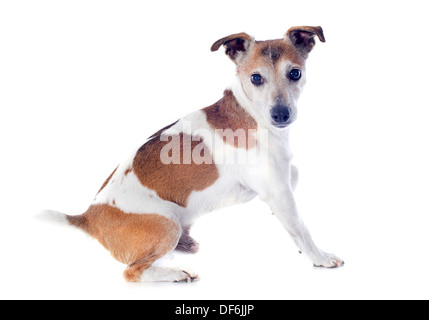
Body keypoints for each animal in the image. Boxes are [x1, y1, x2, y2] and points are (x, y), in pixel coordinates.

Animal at [45, 27, 342, 282]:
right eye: (256, 78)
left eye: (295, 73)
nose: (281, 114)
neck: (250, 113)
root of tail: (88, 216)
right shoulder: (278, 191)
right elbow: (301, 227)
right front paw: (320, 257)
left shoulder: (279, 185)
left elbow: (294, 202)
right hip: (166, 224)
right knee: (133, 271)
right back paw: (177, 273)